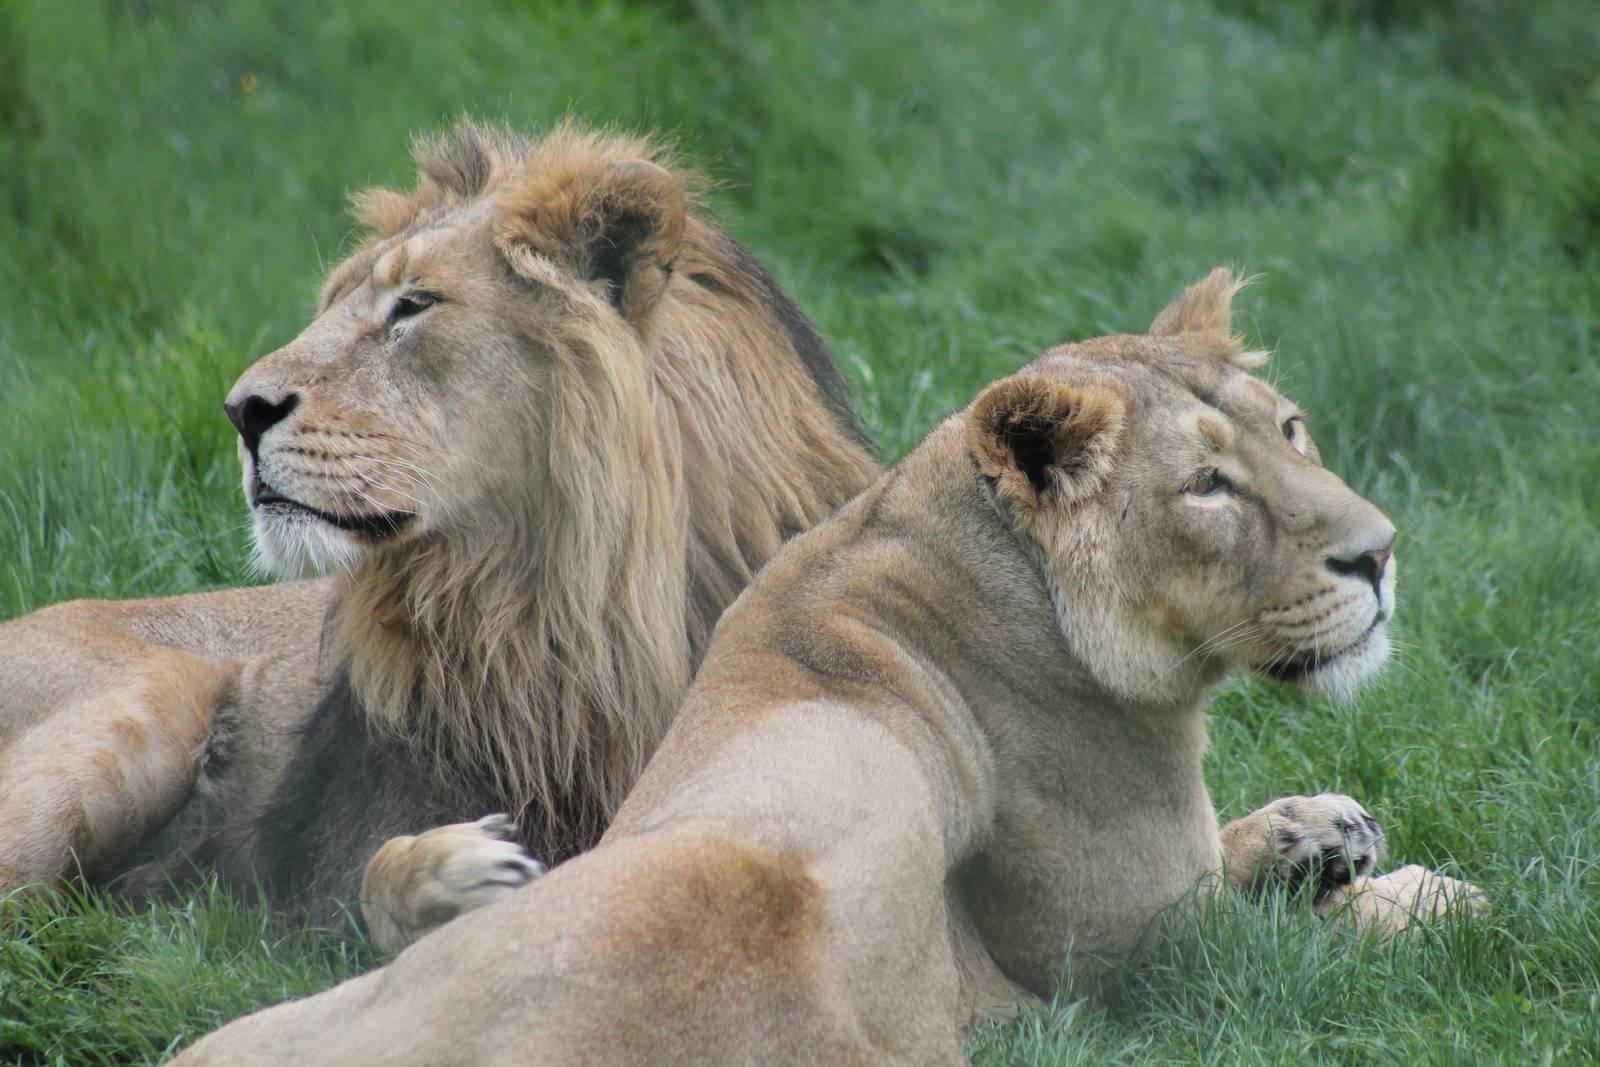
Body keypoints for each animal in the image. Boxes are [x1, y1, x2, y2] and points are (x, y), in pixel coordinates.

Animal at [0, 119, 880, 931]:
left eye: (413, 306)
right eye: (331, 307)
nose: (240, 410)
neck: (563, 617)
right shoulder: (325, 871)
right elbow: (370, 877)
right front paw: (457, 870)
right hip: (157, 698)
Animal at [167, 270, 1481, 1065]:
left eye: (1291, 428)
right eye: (1206, 484)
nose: (1381, 552)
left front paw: (1319, 827)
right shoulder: (1143, 962)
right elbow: (1306, 937)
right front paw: (1423, 893)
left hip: (248, 1031)